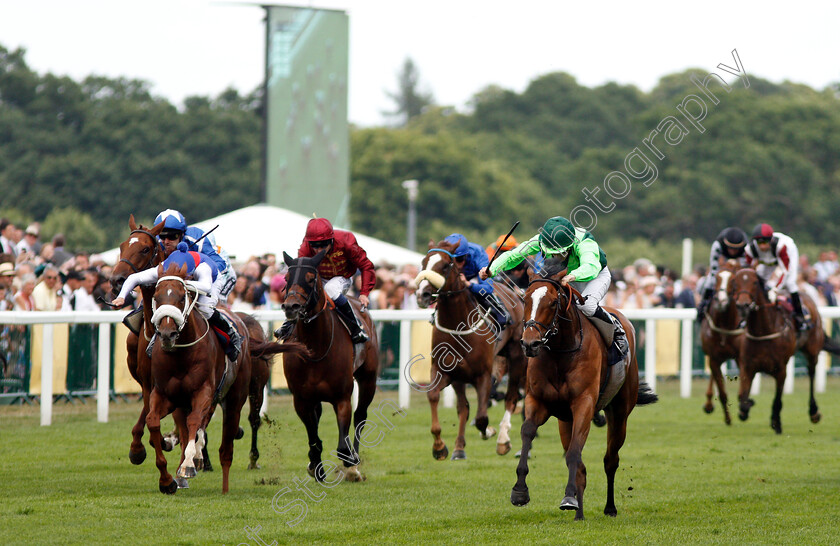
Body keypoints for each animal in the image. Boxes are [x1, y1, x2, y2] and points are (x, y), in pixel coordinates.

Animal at [280, 250, 378, 480]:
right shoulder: (302, 399)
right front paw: (315, 466)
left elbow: (343, 446)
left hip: (368, 379)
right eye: (286, 278)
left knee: (361, 416)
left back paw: (354, 466)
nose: (291, 307)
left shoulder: (342, 397)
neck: (316, 347)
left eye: (309, 278)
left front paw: (350, 462)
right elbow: (314, 438)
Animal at [416, 240, 524, 456]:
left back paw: (503, 438)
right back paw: (459, 447)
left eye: (445, 266)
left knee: (511, 397)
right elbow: (437, 397)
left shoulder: (482, 375)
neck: (458, 323)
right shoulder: (446, 372)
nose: (422, 294)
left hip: (516, 355)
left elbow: (482, 417)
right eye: (423, 262)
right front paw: (441, 447)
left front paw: (490, 432)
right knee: (464, 408)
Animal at [508, 264, 660, 520]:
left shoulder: (584, 404)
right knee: (579, 461)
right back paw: (578, 510)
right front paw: (520, 491)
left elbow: (574, 454)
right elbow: (528, 433)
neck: (561, 353)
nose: (530, 343)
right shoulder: (537, 401)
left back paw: (609, 507)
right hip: (564, 421)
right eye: (525, 298)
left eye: (552, 302)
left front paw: (569, 499)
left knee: (610, 460)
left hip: (619, 413)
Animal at [700, 258, 744, 422]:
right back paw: (708, 404)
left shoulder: (741, 357)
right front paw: (728, 418)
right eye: (717, 277)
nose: (721, 301)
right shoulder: (713, 357)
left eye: (733, 280)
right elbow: (722, 392)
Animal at [728, 266, 840, 432]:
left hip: (812, 350)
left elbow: (777, 399)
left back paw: (814, 411)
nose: (743, 305)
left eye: (755, 282)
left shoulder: (780, 369)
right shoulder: (747, 367)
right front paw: (748, 404)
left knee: (811, 374)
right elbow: (742, 399)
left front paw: (776, 422)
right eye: (735, 282)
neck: (763, 330)